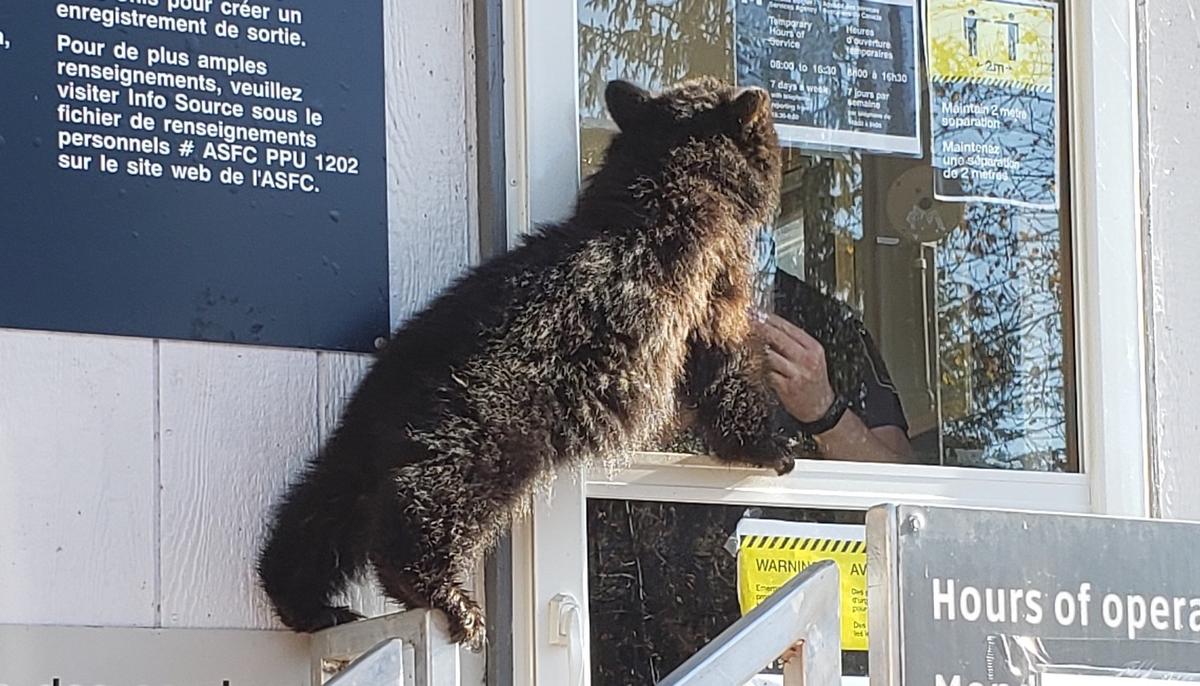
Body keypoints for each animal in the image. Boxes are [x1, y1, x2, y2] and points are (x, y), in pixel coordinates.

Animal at [256, 76, 790, 651]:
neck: (667, 185)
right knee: (432, 494)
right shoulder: (709, 282)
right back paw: (446, 595)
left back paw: (308, 601)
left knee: (324, 505)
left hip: (362, 432)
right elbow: (724, 360)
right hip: (494, 419)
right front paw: (770, 445)